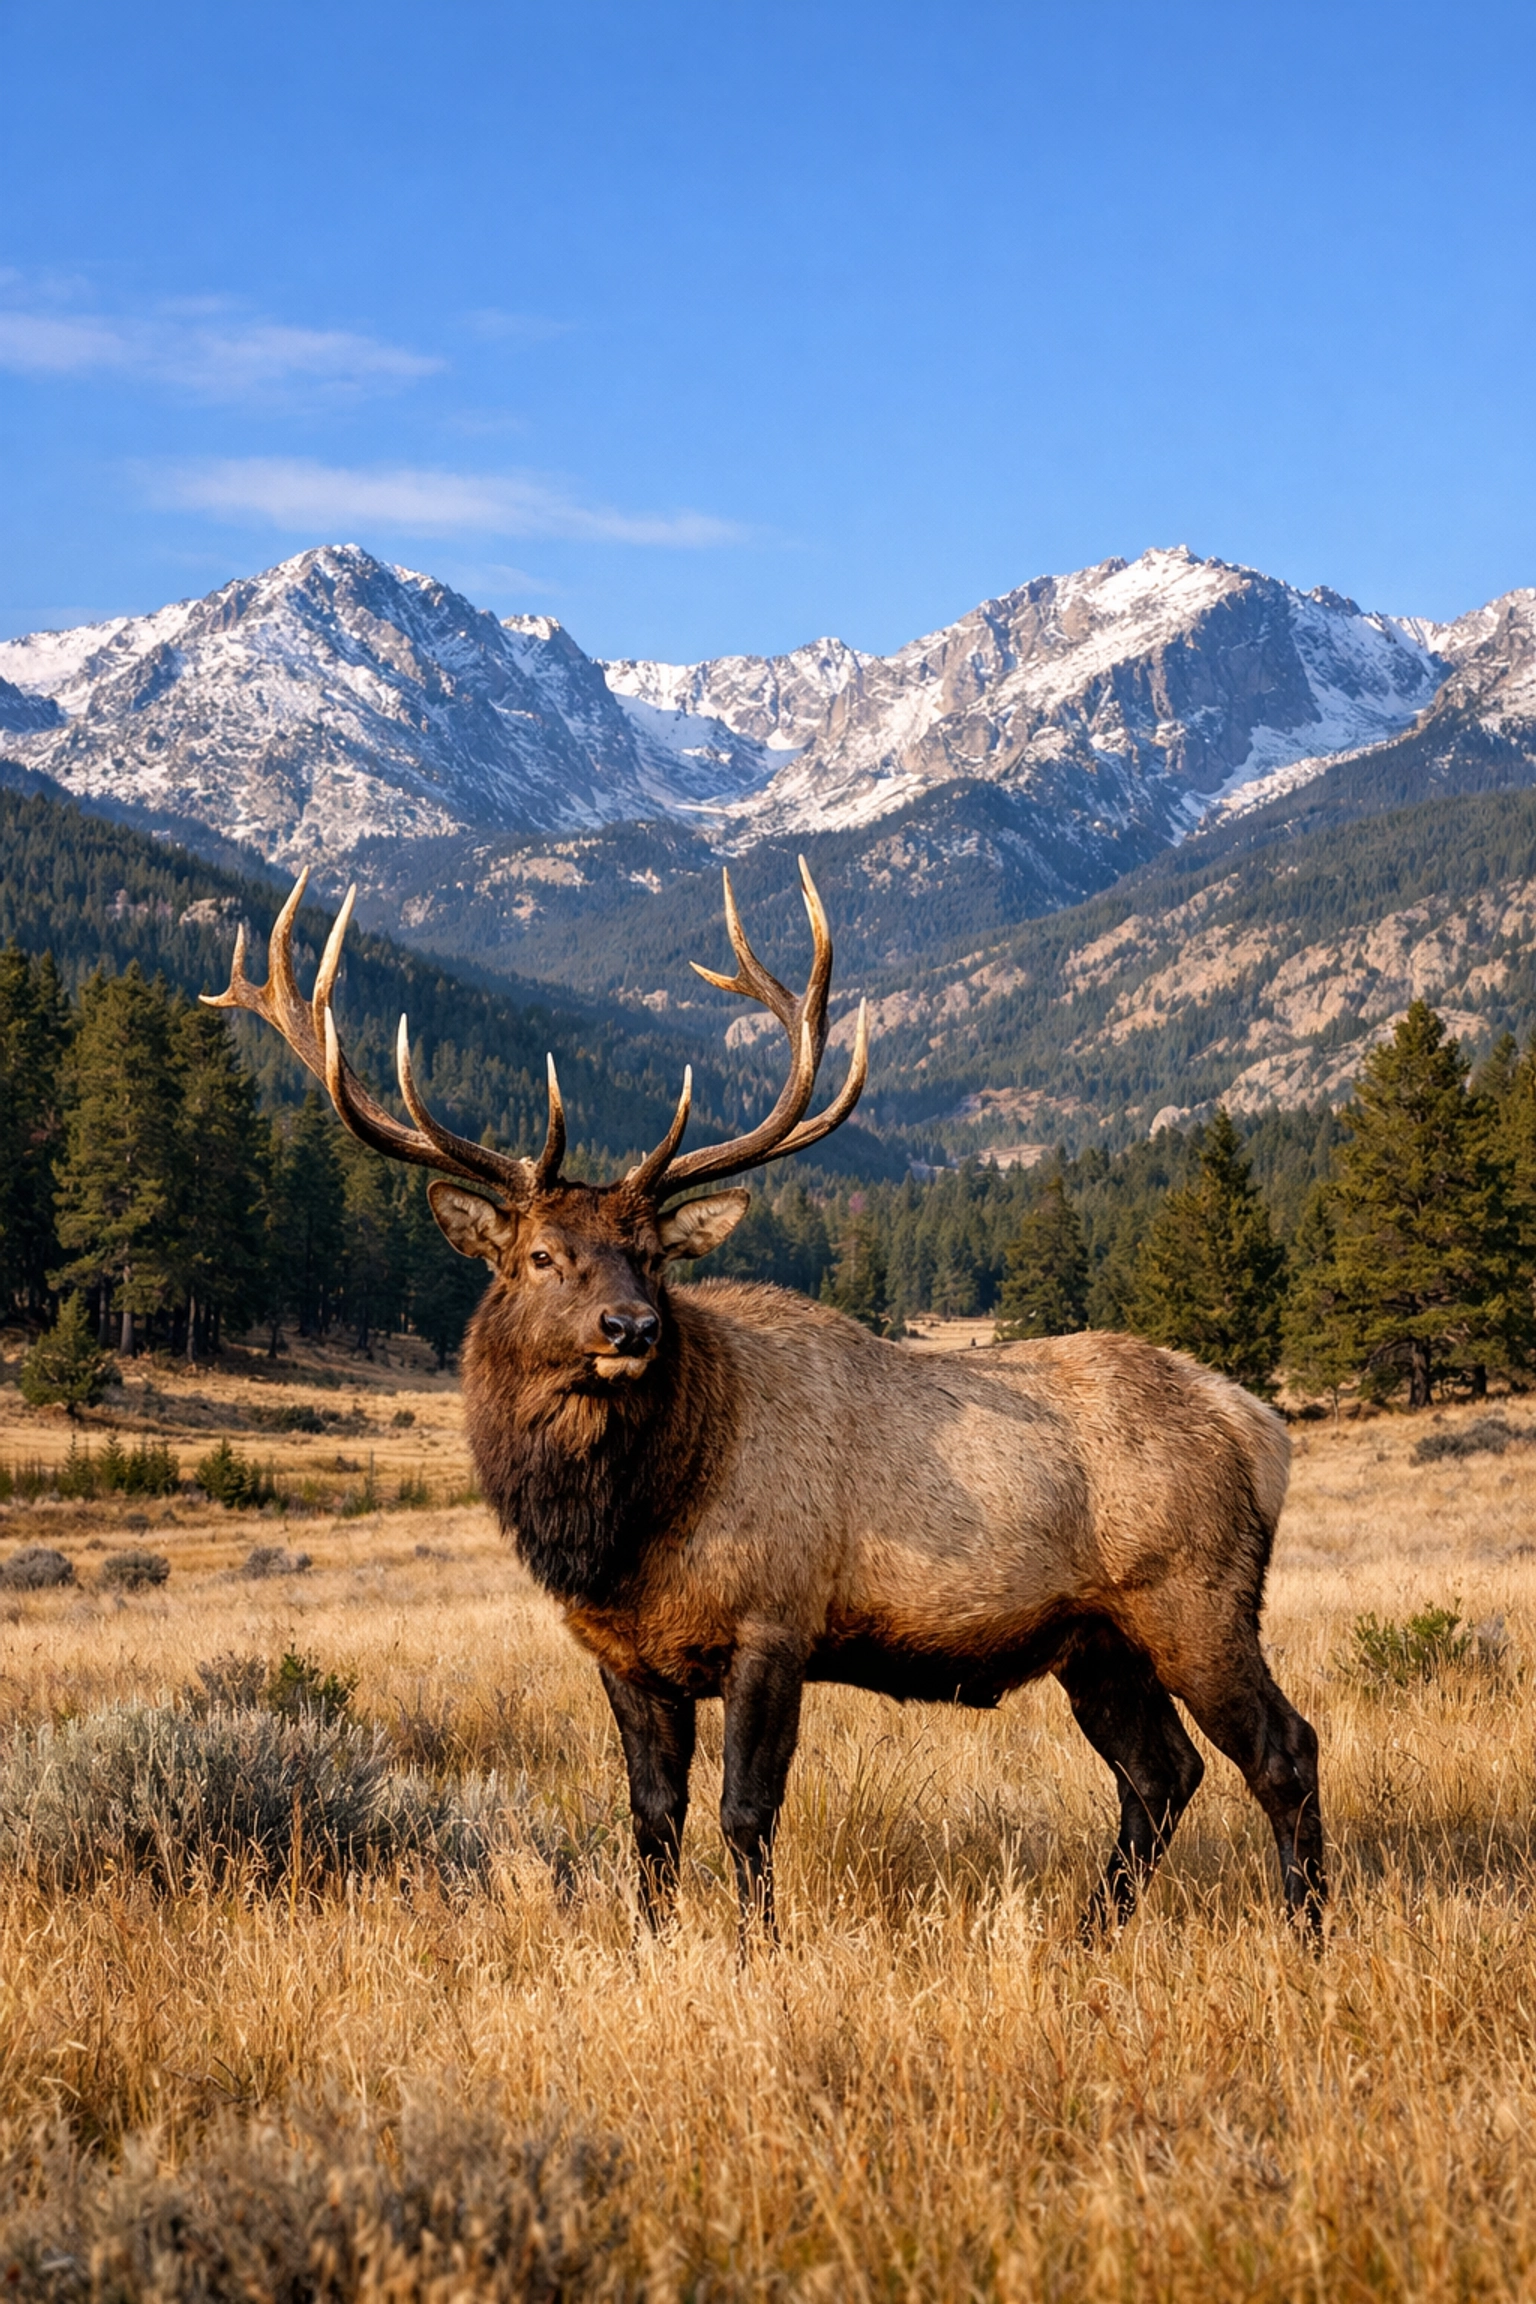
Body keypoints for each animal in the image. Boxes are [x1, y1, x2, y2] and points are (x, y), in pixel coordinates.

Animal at [206, 865, 1325, 1941]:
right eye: (539, 1256)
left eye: (654, 1257)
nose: (631, 1328)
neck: (627, 1528)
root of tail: (1258, 1424)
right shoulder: (624, 1652)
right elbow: (653, 1816)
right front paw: (653, 1944)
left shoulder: (774, 1620)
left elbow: (747, 1812)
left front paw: (759, 1950)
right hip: (1094, 1639)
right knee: (1161, 1774)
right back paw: (1092, 1934)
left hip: (1196, 1596)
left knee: (1282, 1749)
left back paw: (1307, 1931)